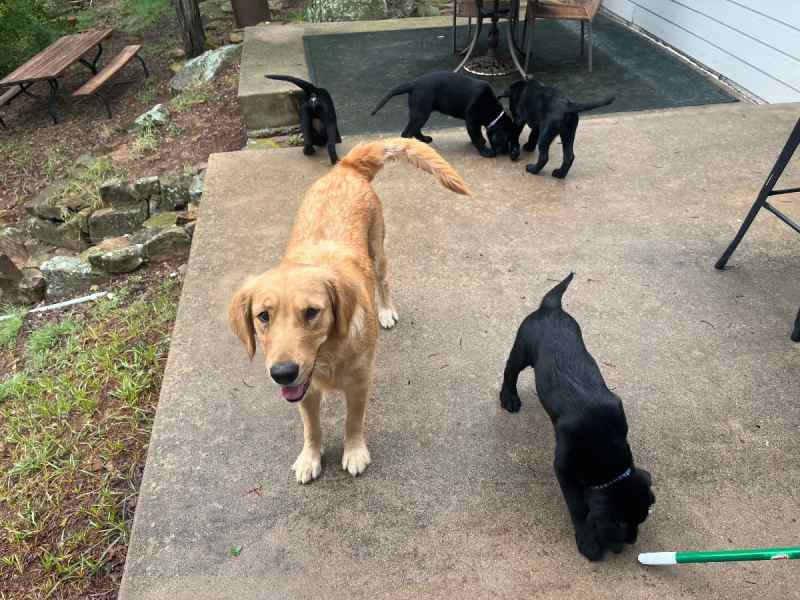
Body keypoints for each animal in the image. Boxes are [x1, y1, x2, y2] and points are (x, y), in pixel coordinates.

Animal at [228, 139, 468, 482]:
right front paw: (310, 457)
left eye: (311, 312)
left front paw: (354, 452)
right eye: (263, 317)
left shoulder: (359, 383)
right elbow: (311, 427)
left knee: (384, 282)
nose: (282, 374)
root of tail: (346, 167)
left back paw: (386, 311)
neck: (328, 354)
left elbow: (352, 422)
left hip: (378, 252)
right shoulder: (305, 392)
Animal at [372, 71, 520, 161]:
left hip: (420, 113)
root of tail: (414, 83)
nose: (506, 152)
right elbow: (476, 136)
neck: (492, 112)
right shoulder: (471, 121)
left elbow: (476, 135)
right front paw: (484, 151)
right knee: (407, 133)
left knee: (415, 129)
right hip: (421, 112)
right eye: (507, 139)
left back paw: (424, 140)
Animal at [500, 274, 656, 560]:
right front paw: (588, 542)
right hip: (522, 349)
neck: (605, 442)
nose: (628, 544)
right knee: (510, 370)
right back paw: (509, 398)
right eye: (618, 522)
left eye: (641, 519)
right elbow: (579, 507)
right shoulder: (564, 468)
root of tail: (551, 308)